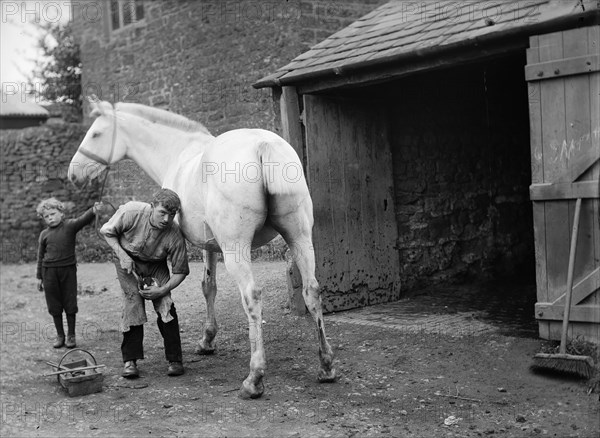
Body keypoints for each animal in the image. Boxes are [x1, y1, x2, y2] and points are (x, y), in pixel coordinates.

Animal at [69, 100, 338, 400]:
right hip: (299, 239)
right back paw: (326, 366)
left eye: (95, 134)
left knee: (252, 298)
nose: (73, 173)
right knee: (311, 291)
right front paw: (207, 340)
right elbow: (209, 286)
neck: (178, 152)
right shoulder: (211, 245)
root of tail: (263, 146)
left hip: (237, 251)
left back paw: (254, 379)